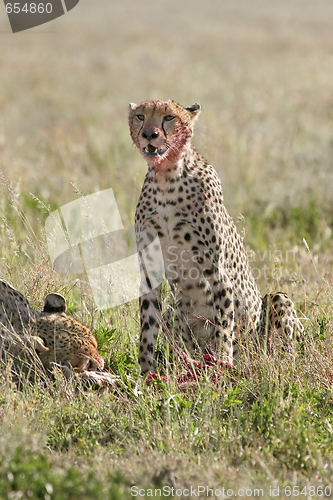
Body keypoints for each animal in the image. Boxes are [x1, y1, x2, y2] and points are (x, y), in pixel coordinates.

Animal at [128, 97, 302, 374]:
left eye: (169, 117)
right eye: (140, 116)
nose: (149, 134)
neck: (167, 177)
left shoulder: (216, 271)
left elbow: (224, 324)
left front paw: (223, 364)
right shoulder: (150, 270)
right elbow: (147, 327)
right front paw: (146, 374)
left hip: (274, 307)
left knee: (281, 351)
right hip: (174, 314)